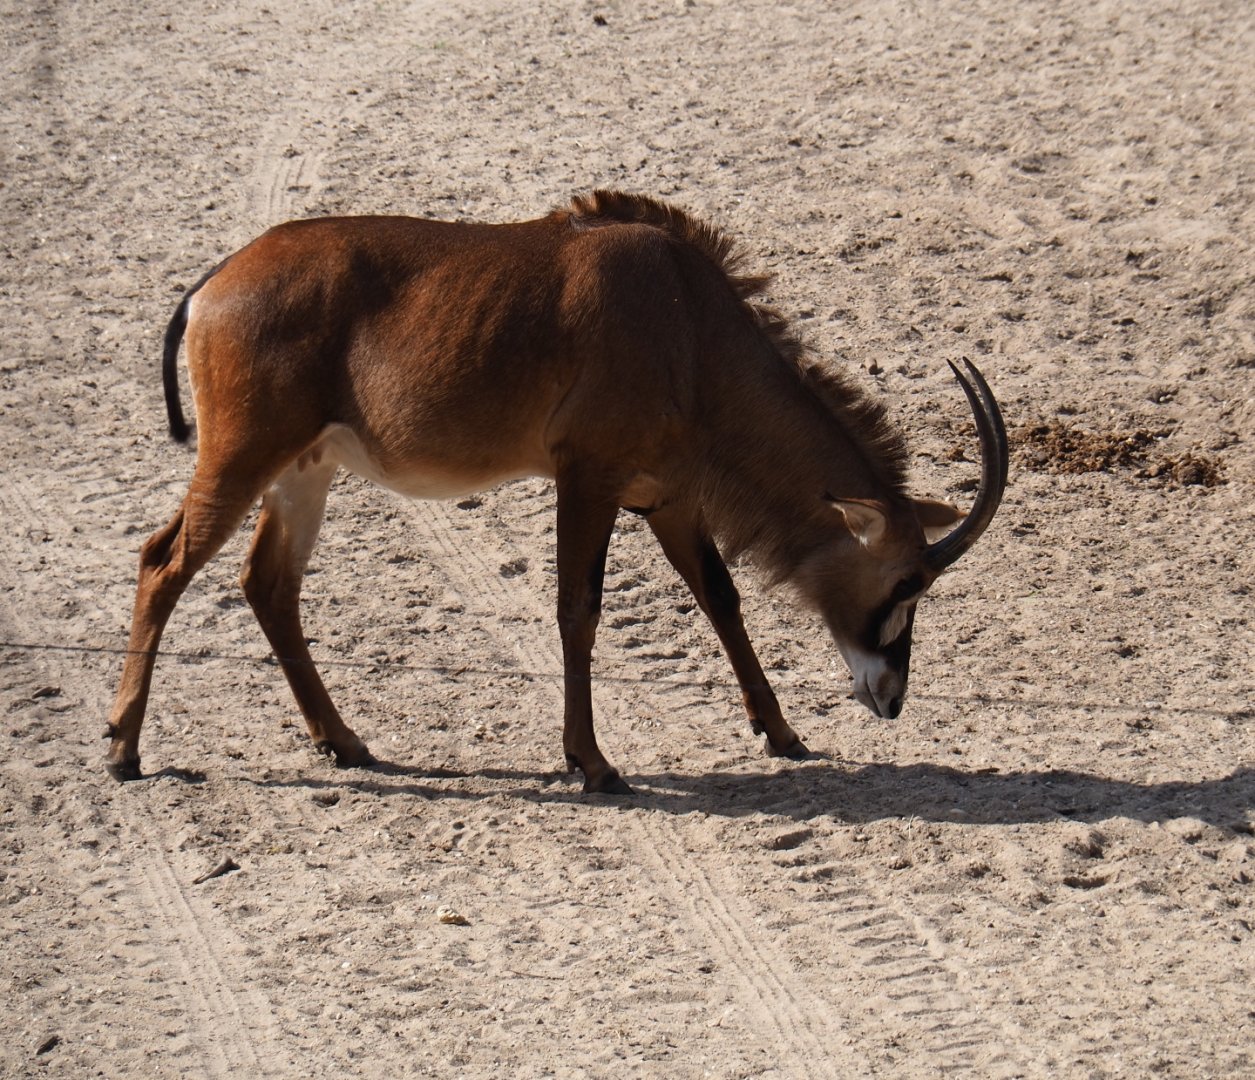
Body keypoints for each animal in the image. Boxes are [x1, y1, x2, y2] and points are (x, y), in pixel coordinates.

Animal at [105, 191, 1007, 794]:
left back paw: (346, 742)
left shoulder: (669, 497)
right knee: (163, 562)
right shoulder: (588, 478)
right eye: (907, 581)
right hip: (245, 453)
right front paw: (594, 763)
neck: (690, 323)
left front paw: (780, 732)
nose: (891, 697)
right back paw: (123, 750)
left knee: (268, 583)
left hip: (305, 469)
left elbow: (720, 599)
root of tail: (216, 282)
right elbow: (579, 608)